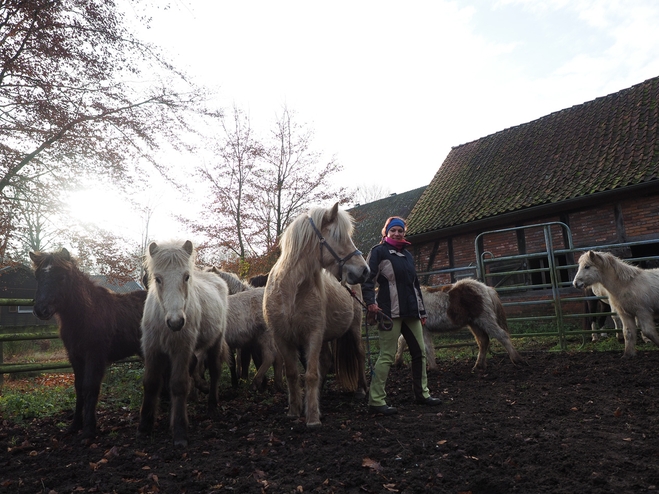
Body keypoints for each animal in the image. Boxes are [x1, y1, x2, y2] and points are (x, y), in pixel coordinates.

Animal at [30, 249, 147, 438]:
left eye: (62, 277)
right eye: (37, 276)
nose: (41, 310)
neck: (86, 313)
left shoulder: (95, 355)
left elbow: (90, 387)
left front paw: (89, 428)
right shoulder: (75, 357)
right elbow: (79, 388)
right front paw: (75, 424)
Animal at [139, 240, 229, 448]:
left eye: (187, 277)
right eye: (158, 279)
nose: (176, 322)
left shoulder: (181, 350)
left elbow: (179, 385)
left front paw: (180, 432)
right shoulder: (152, 348)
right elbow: (151, 383)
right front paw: (145, 425)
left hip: (216, 341)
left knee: (214, 370)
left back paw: (212, 405)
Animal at [264, 203, 372, 426]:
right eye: (338, 236)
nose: (365, 271)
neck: (290, 291)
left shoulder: (312, 335)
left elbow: (311, 374)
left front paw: (313, 417)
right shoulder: (282, 338)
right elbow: (293, 374)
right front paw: (294, 411)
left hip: (354, 328)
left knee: (359, 354)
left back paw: (360, 390)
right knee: (327, 361)